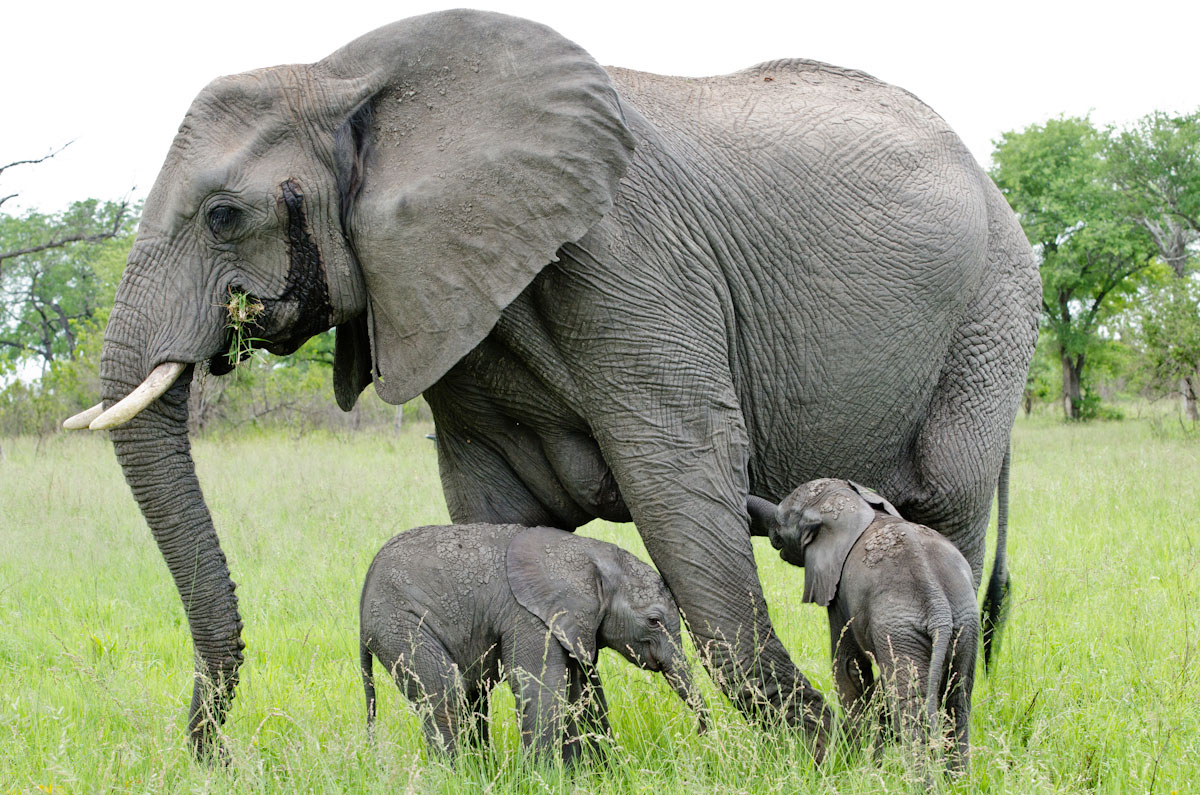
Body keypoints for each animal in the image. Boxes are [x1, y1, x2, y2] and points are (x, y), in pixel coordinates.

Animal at [360, 523, 705, 768]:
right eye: (654, 621)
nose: (701, 737)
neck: (588, 555)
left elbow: (578, 690)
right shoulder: (528, 615)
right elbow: (542, 686)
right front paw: (544, 777)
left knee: (470, 695)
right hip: (399, 621)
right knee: (446, 691)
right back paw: (456, 775)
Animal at [763, 480, 979, 778]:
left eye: (782, 520)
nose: (771, 535)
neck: (852, 505)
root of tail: (939, 607)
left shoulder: (840, 593)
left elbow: (846, 666)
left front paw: (860, 763)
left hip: (898, 631)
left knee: (911, 708)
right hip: (965, 626)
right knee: (958, 701)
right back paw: (958, 782)